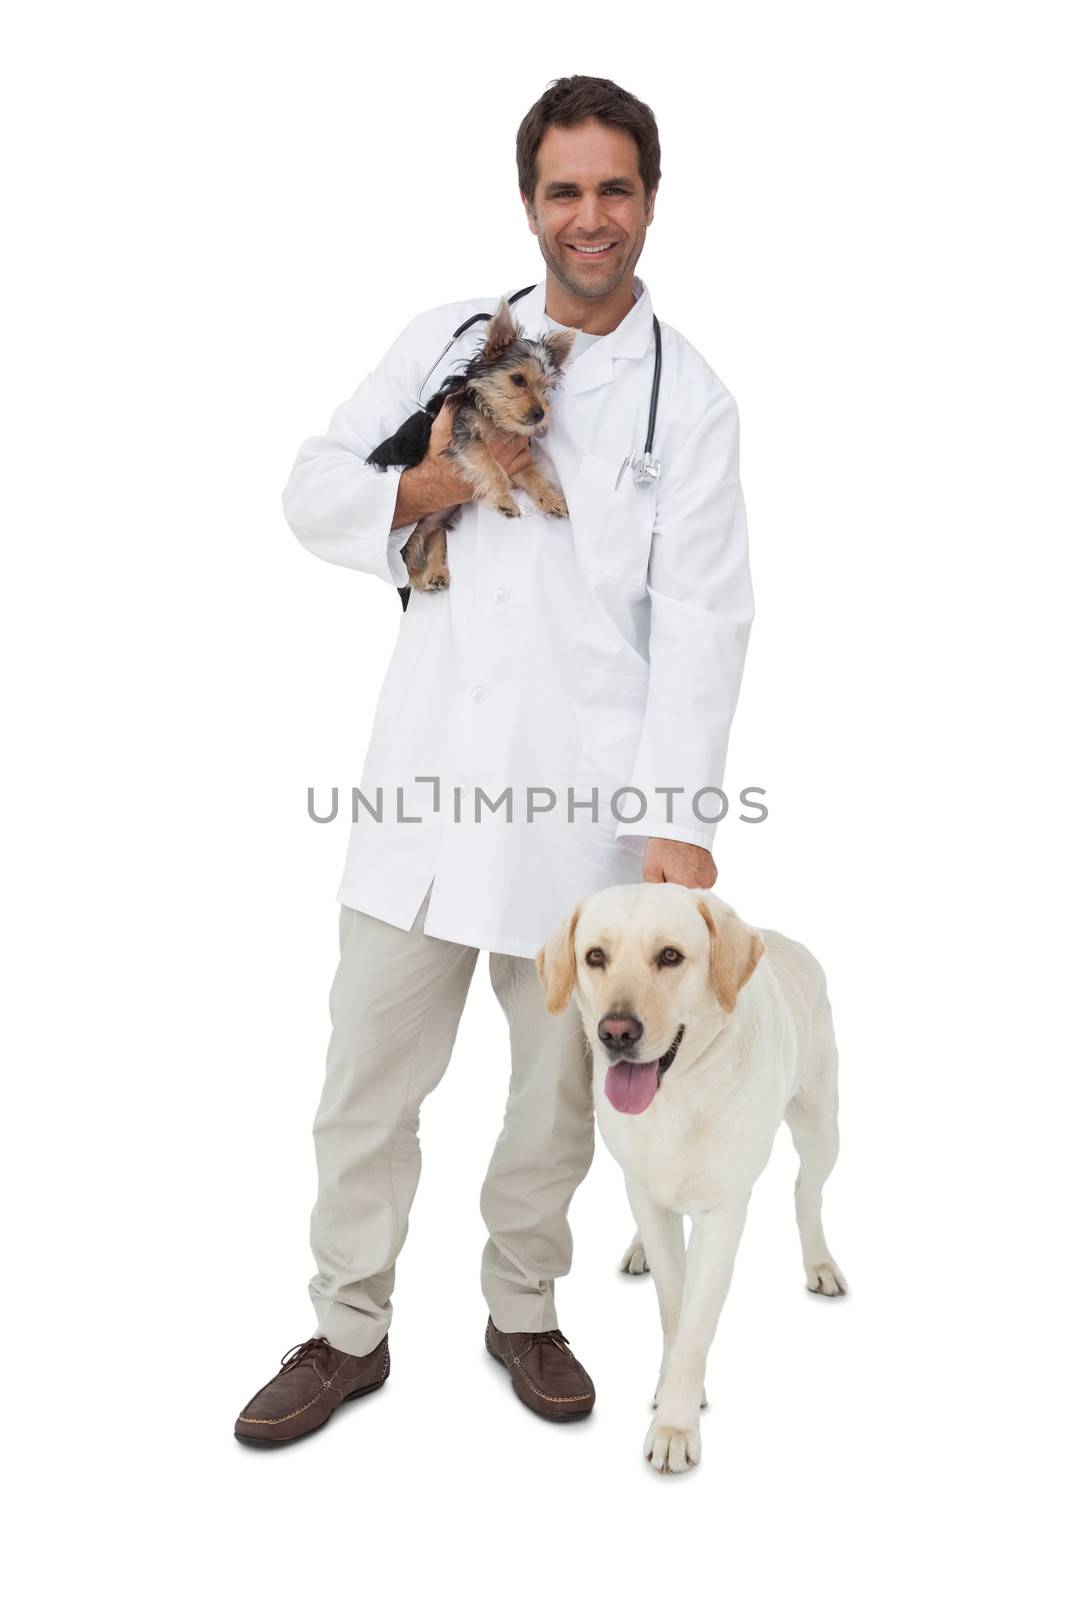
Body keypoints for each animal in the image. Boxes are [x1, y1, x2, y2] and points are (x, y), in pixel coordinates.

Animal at [364, 297, 575, 592]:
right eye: (518, 379)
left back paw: (436, 573)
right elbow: (490, 464)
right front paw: (504, 500)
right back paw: (420, 579)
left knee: (434, 542)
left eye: (545, 388)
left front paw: (551, 499)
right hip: (408, 533)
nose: (540, 414)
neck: (490, 413)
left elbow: (532, 473)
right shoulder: (464, 436)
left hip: (436, 525)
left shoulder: (516, 458)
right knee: (406, 563)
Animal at [537, 883, 844, 1478]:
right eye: (595, 956)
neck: (675, 1095)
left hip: (822, 1123)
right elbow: (673, 1303)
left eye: (670, 956)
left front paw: (675, 1427)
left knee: (808, 1193)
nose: (616, 1033)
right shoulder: (647, 1193)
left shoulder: (723, 1214)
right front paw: (673, 1388)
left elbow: (698, 1319)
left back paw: (820, 1264)